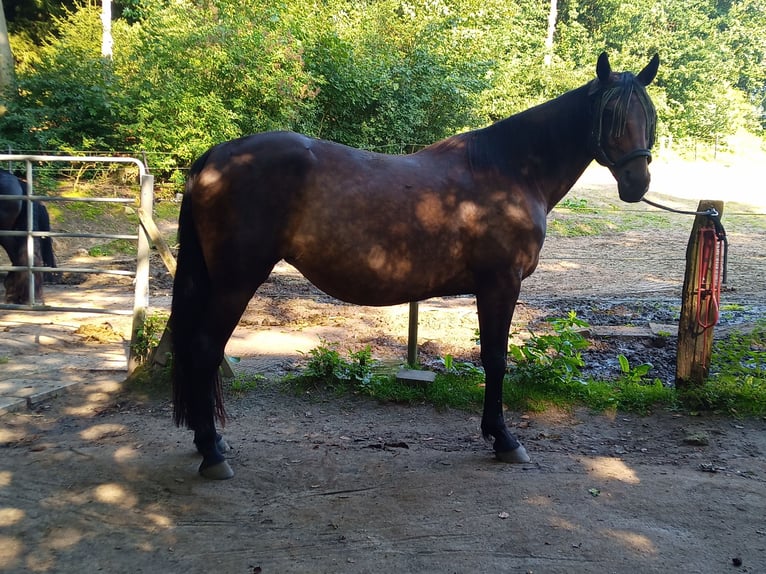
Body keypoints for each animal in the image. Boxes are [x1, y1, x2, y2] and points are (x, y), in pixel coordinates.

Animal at [172, 51, 660, 480]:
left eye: (648, 116)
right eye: (611, 116)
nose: (636, 183)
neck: (509, 170)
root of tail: (215, 156)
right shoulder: (500, 284)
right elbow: (495, 358)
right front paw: (504, 439)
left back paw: (206, 441)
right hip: (236, 282)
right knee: (205, 348)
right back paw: (212, 452)